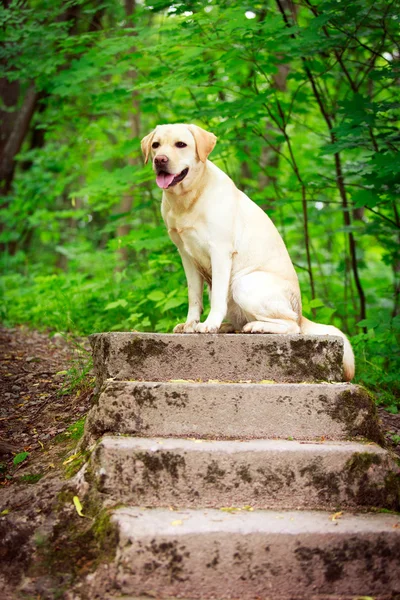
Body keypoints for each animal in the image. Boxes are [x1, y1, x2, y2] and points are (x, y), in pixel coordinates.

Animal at [142, 123, 354, 380]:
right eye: (156, 145)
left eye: (180, 144)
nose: (160, 160)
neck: (189, 199)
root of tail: (302, 312)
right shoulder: (186, 255)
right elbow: (194, 297)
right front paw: (191, 324)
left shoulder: (220, 251)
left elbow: (217, 298)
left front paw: (209, 324)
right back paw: (229, 327)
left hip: (243, 283)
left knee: (291, 325)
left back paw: (255, 327)